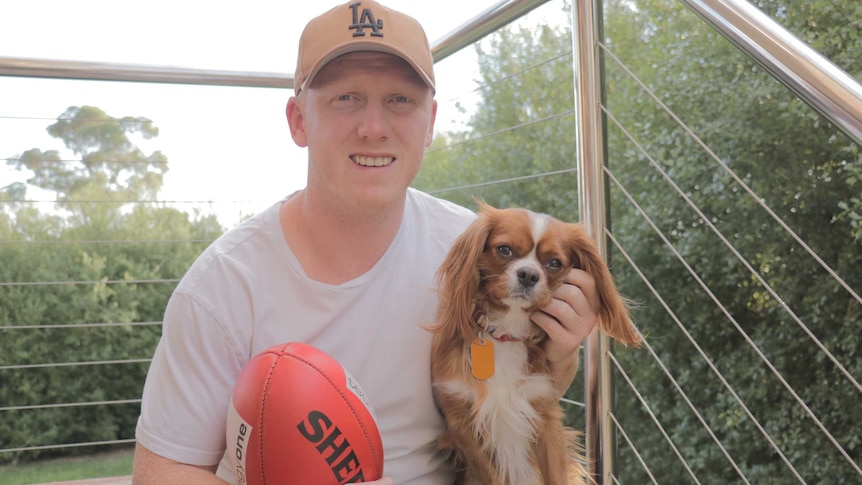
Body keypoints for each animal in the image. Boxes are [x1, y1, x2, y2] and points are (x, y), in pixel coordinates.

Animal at [430, 202, 640, 482]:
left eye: (554, 263)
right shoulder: (462, 424)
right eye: (504, 250)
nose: (529, 275)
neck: (506, 333)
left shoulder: (544, 416)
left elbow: (556, 476)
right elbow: (492, 476)